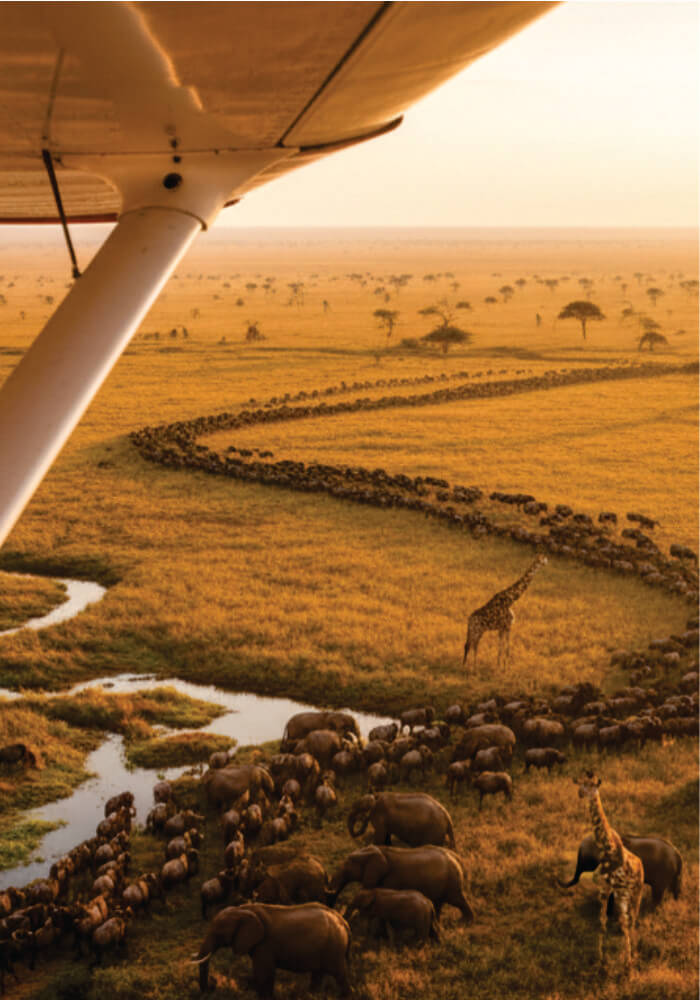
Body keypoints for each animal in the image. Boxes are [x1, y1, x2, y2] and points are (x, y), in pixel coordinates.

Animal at [193, 902, 351, 996]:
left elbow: (264, 974)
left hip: (334, 948)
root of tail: (343, 921)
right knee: (318, 974)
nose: (211, 987)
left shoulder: (265, 945)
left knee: (340, 975)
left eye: (218, 934)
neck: (243, 909)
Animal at [328, 844, 474, 922]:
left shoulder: (390, 879)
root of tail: (456, 857)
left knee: (457, 900)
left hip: (451, 881)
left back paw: (466, 922)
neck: (379, 850)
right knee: (439, 902)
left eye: (347, 864)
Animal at [574, 771, 644, 974]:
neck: (607, 847)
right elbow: (602, 922)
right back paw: (629, 958)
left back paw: (631, 961)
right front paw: (601, 961)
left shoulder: (610, 889)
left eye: (591, 785)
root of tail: (641, 868)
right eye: (582, 783)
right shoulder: (605, 889)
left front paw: (622, 965)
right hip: (625, 897)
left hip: (633, 894)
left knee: (631, 922)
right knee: (627, 922)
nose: (580, 794)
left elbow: (614, 923)